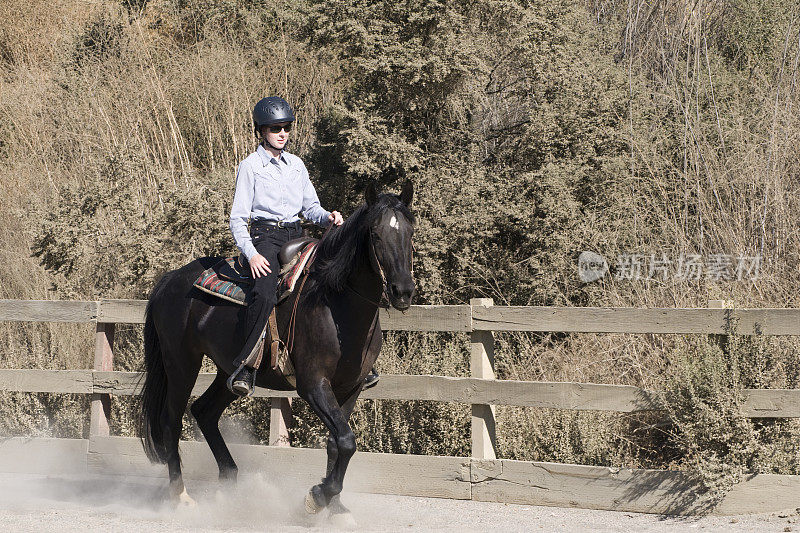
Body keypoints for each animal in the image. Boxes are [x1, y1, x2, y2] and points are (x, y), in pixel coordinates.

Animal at [139, 183, 412, 520]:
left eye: (410, 231)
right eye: (375, 234)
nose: (403, 291)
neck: (334, 303)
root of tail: (170, 280)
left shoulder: (351, 387)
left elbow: (338, 442)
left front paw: (335, 507)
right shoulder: (313, 385)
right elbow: (347, 440)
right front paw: (317, 497)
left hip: (229, 372)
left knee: (204, 411)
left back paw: (230, 483)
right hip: (180, 364)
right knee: (171, 421)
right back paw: (181, 496)